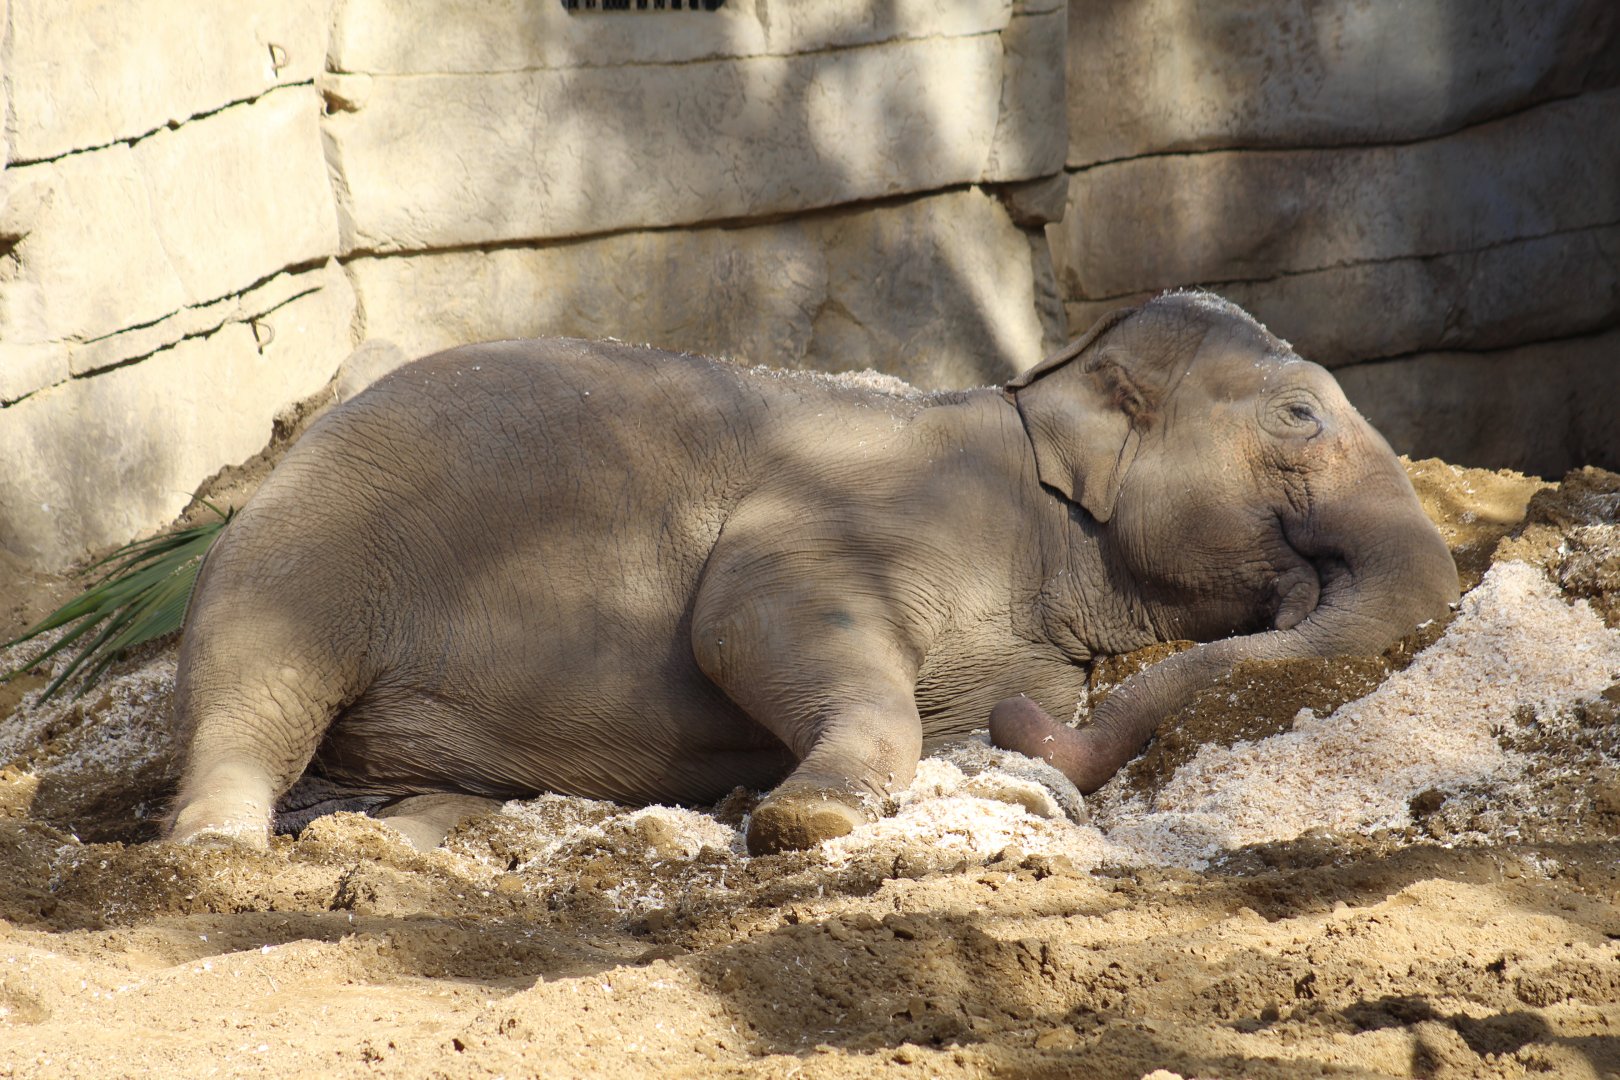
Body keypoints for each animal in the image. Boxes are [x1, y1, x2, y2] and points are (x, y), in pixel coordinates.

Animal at [166, 290, 1458, 856]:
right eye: (1300, 414)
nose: (1024, 724)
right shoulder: (874, 505)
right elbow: (745, 618)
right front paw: (807, 819)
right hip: (308, 548)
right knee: (255, 688)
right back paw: (222, 853)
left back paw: (388, 841)